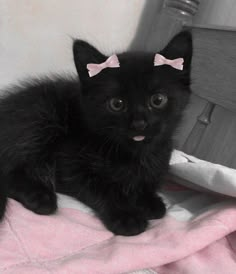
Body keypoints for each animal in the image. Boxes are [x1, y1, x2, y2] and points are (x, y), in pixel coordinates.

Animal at [0, 30, 192, 235]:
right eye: (116, 104)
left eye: (158, 100)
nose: (139, 123)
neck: (135, 154)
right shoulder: (71, 167)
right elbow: (103, 188)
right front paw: (126, 215)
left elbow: (149, 183)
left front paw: (149, 201)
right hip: (42, 116)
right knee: (10, 169)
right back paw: (40, 197)